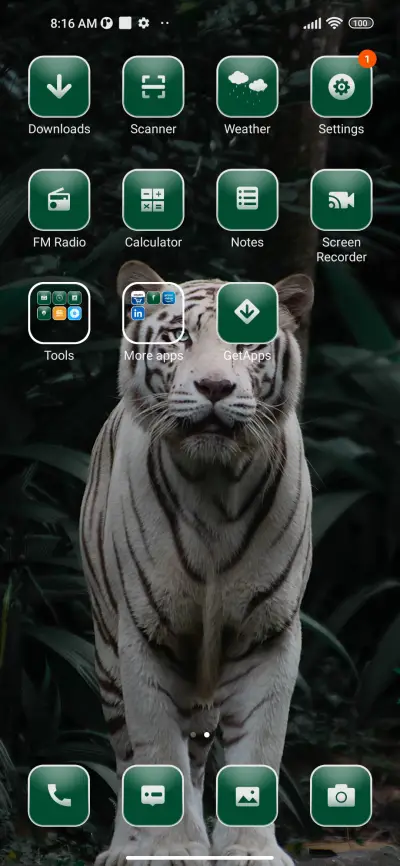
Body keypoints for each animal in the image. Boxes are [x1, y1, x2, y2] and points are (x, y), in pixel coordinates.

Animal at [79, 259, 314, 866]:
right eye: (179, 338)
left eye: (248, 343)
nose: (214, 387)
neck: (215, 488)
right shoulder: (145, 633)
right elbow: (158, 751)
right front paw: (174, 848)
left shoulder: (268, 633)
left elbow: (260, 745)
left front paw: (250, 850)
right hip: (107, 651)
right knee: (127, 752)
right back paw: (126, 847)